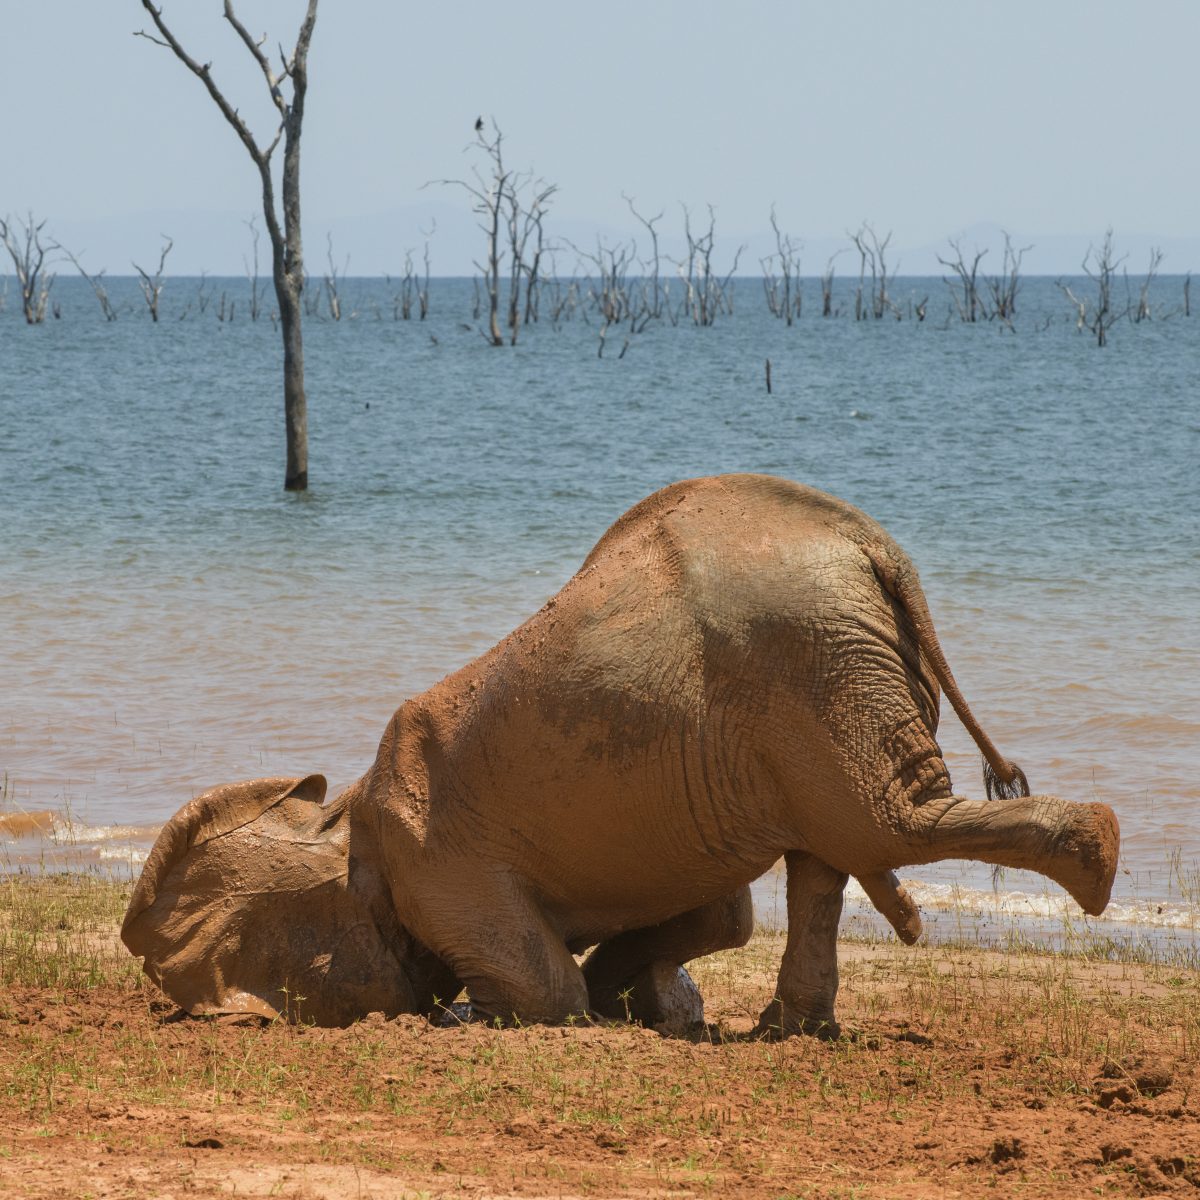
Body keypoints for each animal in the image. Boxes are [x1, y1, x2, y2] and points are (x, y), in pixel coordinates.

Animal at [121, 472, 1113, 1036]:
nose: (444, 1007)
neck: (342, 817)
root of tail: (877, 549)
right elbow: (719, 919)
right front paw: (647, 1008)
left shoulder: (437, 866)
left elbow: (549, 988)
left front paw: (488, 1014)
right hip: (823, 679)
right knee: (829, 855)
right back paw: (788, 1030)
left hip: (814, 663)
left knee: (880, 828)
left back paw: (1098, 859)